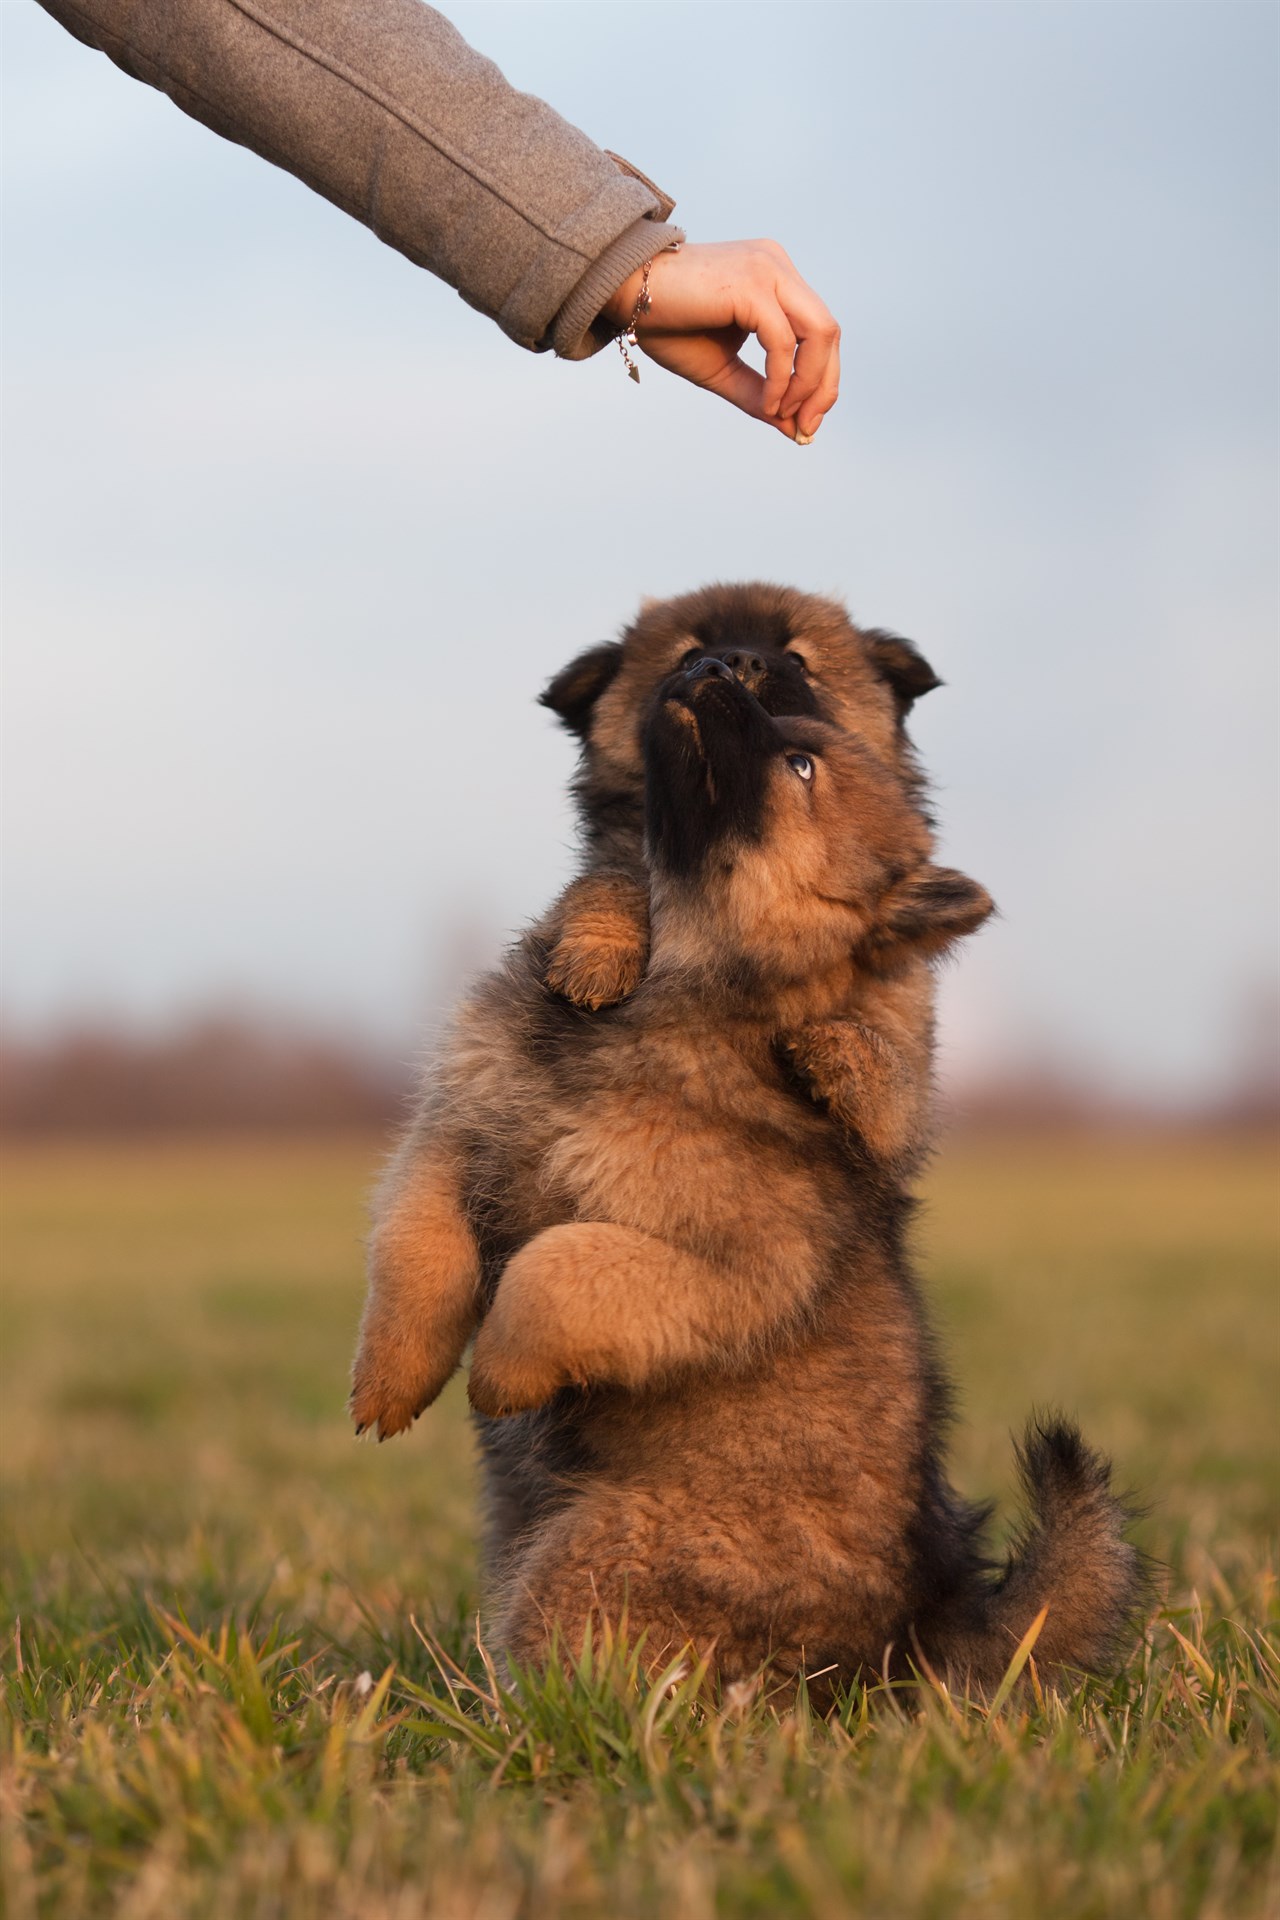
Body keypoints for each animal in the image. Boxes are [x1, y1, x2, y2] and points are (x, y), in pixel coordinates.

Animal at [351, 660, 1143, 1697]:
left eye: (801, 764)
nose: (708, 665)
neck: (667, 983)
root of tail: (918, 1628)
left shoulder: (724, 1269)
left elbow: (557, 1263)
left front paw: (501, 1370)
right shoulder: (454, 1137)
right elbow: (416, 1250)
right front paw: (390, 1382)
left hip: (589, 1555)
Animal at [537, 576, 955, 1167]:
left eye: (798, 660)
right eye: (688, 654)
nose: (735, 661)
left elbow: (896, 1062)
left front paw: (853, 1062)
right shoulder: (625, 861)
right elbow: (611, 880)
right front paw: (597, 954)